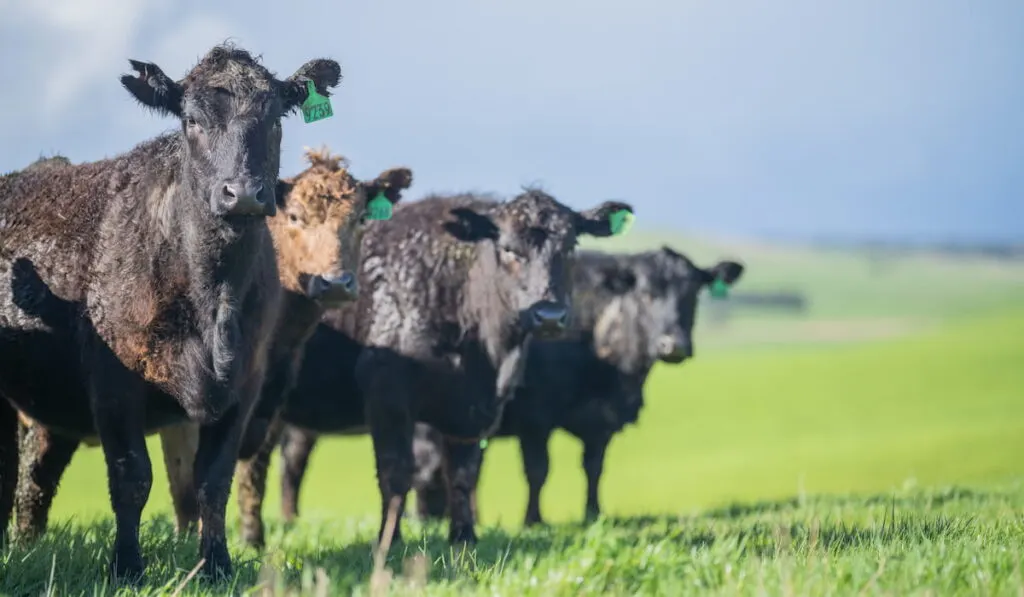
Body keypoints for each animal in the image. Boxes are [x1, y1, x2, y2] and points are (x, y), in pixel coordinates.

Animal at [0, 44, 344, 581]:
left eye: (275, 119)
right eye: (191, 120)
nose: (242, 193)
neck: (211, 300)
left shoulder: (245, 384)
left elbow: (213, 481)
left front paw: (217, 565)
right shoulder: (114, 382)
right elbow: (131, 477)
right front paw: (126, 567)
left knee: (36, 473)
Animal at [184, 189, 630, 548]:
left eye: (570, 246)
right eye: (507, 249)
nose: (549, 315)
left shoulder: (475, 409)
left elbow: (463, 474)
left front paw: (464, 537)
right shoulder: (388, 393)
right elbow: (396, 471)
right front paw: (389, 540)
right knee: (253, 463)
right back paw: (251, 538)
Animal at [385, 245, 745, 524]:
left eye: (693, 295)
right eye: (646, 294)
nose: (674, 345)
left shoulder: (601, 421)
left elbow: (594, 468)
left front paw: (593, 513)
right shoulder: (535, 419)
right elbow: (538, 470)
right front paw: (533, 520)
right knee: (426, 469)